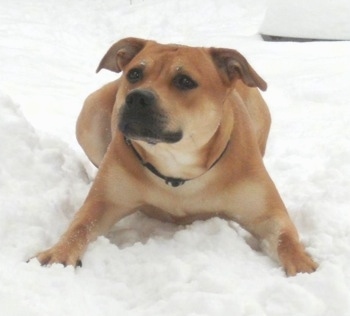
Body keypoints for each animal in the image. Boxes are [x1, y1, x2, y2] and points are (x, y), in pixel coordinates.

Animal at [34, 37, 318, 276]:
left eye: (184, 81)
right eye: (135, 73)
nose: (137, 97)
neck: (177, 164)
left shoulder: (265, 212)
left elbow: (284, 237)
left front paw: (303, 265)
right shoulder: (106, 201)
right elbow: (79, 226)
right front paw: (58, 254)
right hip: (90, 114)